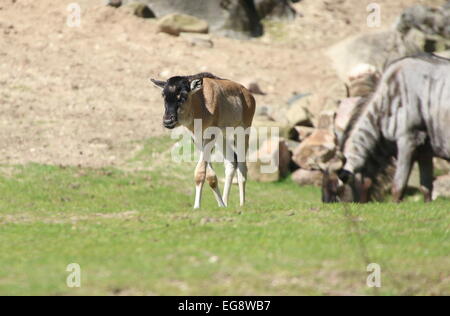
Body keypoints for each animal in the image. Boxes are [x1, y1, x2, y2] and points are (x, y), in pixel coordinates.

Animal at [151, 73, 255, 209]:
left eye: (183, 96)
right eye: (164, 95)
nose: (168, 121)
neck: (202, 102)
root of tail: (248, 95)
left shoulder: (209, 136)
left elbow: (200, 171)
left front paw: (196, 207)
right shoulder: (197, 138)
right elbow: (210, 175)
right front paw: (220, 205)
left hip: (242, 131)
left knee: (242, 166)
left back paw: (242, 204)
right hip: (222, 136)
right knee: (232, 161)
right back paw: (225, 203)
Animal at [340, 54, 450, 202]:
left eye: (340, 187)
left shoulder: (408, 140)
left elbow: (398, 186)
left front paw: (396, 204)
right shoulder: (425, 150)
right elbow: (426, 188)